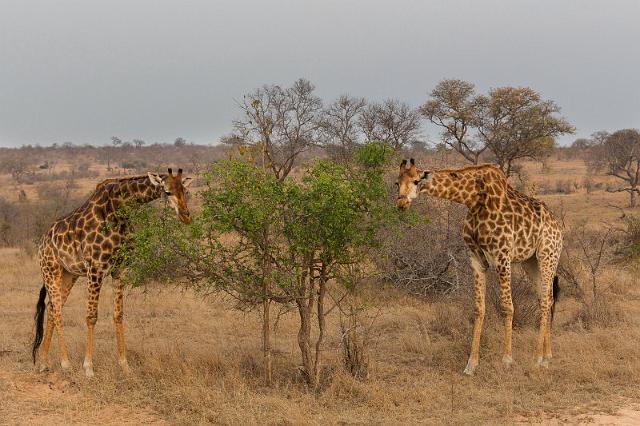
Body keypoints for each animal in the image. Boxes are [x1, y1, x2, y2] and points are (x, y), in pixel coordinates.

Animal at [32, 168, 192, 378]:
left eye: (185, 191)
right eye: (167, 192)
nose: (186, 216)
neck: (121, 208)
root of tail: (42, 241)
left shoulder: (120, 269)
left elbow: (118, 314)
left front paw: (124, 365)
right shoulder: (95, 267)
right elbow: (91, 316)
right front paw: (88, 367)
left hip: (69, 274)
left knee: (51, 307)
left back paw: (43, 362)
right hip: (51, 269)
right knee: (57, 309)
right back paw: (65, 363)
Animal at [396, 160, 560, 376]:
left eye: (416, 181)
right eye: (396, 182)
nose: (401, 203)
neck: (473, 200)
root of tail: (557, 224)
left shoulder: (502, 256)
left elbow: (507, 306)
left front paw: (507, 360)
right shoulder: (476, 259)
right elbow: (479, 308)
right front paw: (471, 365)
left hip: (548, 256)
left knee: (546, 300)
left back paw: (538, 359)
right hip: (530, 262)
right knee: (546, 298)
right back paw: (548, 356)